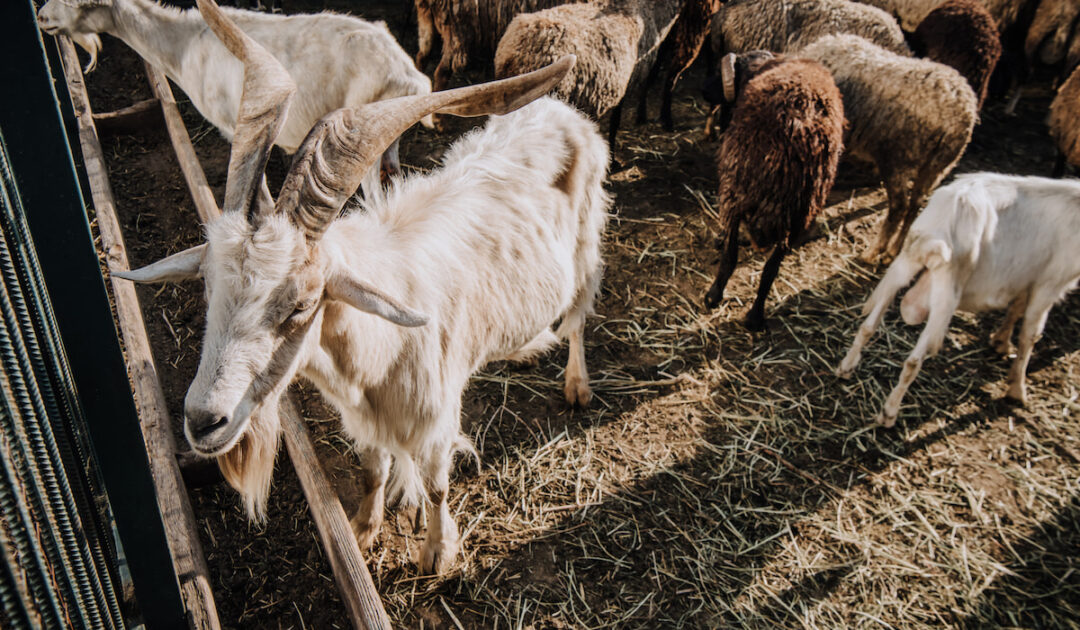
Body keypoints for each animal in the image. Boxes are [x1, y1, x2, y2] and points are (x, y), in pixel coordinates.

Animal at [117, 0, 604, 575]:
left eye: (302, 305)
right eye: (207, 288)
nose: (202, 422)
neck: (380, 352)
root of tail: (559, 111)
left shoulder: (436, 421)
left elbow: (438, 488)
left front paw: (435, 552)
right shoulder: (363, 418)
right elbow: (373, 470)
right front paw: (365, 527)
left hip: (587, 245)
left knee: (578, 316)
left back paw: (576, 385)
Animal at [837, 173, 1080, 426]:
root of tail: (943, 224)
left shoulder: (1028, 278)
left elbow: (1016, 309)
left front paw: (1001, 342)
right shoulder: (1049, 284)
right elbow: (1030, 335)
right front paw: (1017, 390)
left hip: (904, 266)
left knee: (868, 326)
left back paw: (846, 367)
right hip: (945, 297)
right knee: (913, 361)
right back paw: (889, 413)